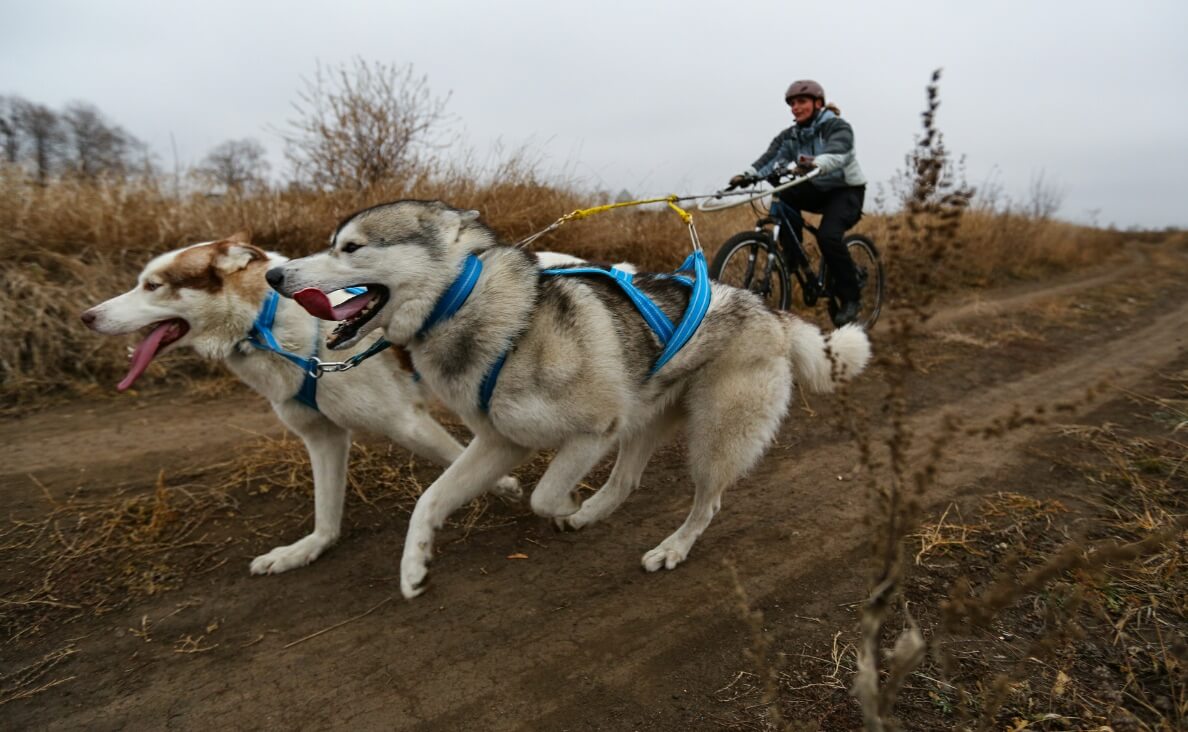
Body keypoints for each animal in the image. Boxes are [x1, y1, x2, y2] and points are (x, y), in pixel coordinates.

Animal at [264, 197, 869, 596]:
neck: (483, 312)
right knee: (626, 481)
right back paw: (596, 512)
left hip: (710, 438)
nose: (274, 275)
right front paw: (415, 565)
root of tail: (771, 312)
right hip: (644, 420)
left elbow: (543, 495)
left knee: (707, 502)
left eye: (351, 247)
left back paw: (671, 546)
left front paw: (569, 504)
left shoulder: (591, 432)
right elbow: (430, 500)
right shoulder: (499, 443)